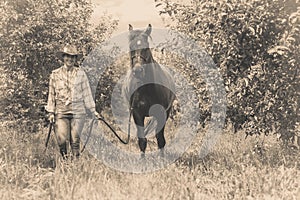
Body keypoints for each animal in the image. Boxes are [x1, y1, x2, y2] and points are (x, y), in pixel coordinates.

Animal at [124, 24, 176, 157]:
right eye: (131, 47)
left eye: (146, 47)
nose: (138, 71)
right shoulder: (137, 114)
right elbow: (142, 140)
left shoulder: (161, 113)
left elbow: (160, 139)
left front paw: (162, 159)